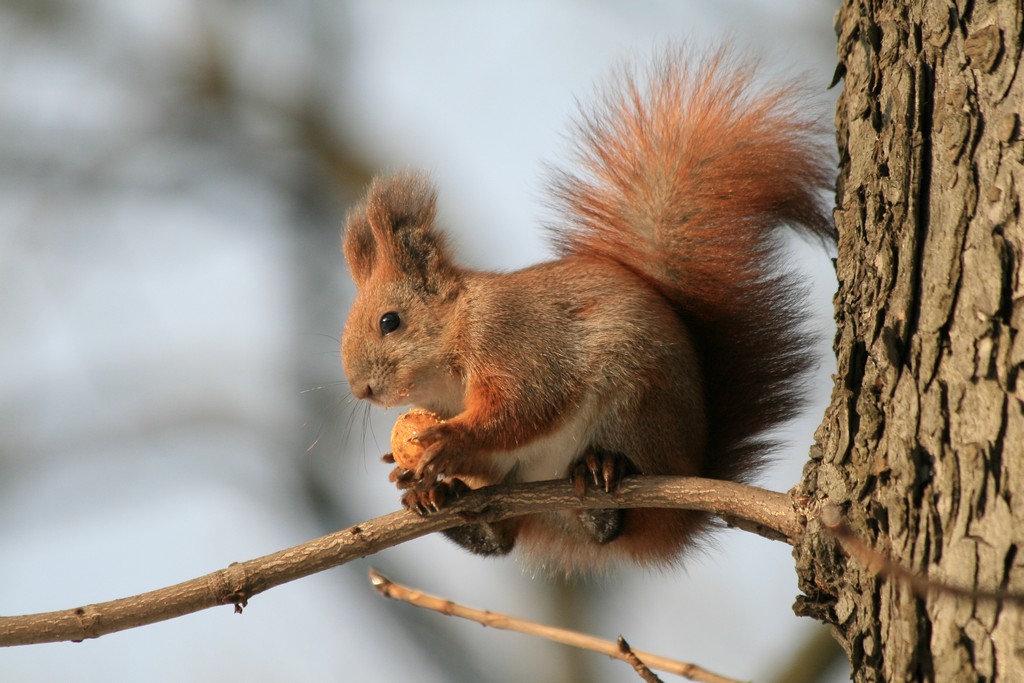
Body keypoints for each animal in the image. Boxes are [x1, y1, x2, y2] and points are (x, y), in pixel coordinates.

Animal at [340, 47, 836, 574]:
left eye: (389, 322)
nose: (361, 389)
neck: (456, 343)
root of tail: (689, 488)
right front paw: (406, 470)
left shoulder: (516, 342)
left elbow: (524, 406)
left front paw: (451, 441)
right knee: (503, 535)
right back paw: (449, 506)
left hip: (637, 407)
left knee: (612, 513)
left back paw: (603, 477)